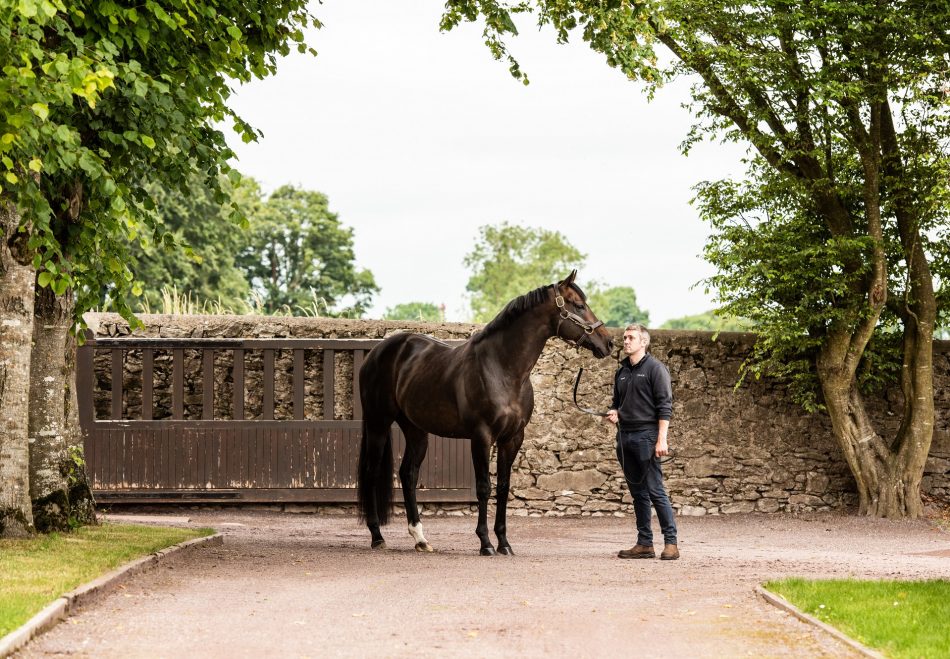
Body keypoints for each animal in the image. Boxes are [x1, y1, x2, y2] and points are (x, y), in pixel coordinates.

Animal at [358, 270, 616, 556]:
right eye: (579, 305)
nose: (609, 342)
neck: (502, 368)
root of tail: (377, 352)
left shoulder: (513, 438)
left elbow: (503, 488)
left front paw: (504, 542)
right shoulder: (482, 436)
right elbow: (483, 488)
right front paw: (485, 543)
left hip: (415, 429)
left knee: (408, 474)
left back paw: (420, 538)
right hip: (378, 423)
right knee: (371, 472)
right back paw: (377, 536)